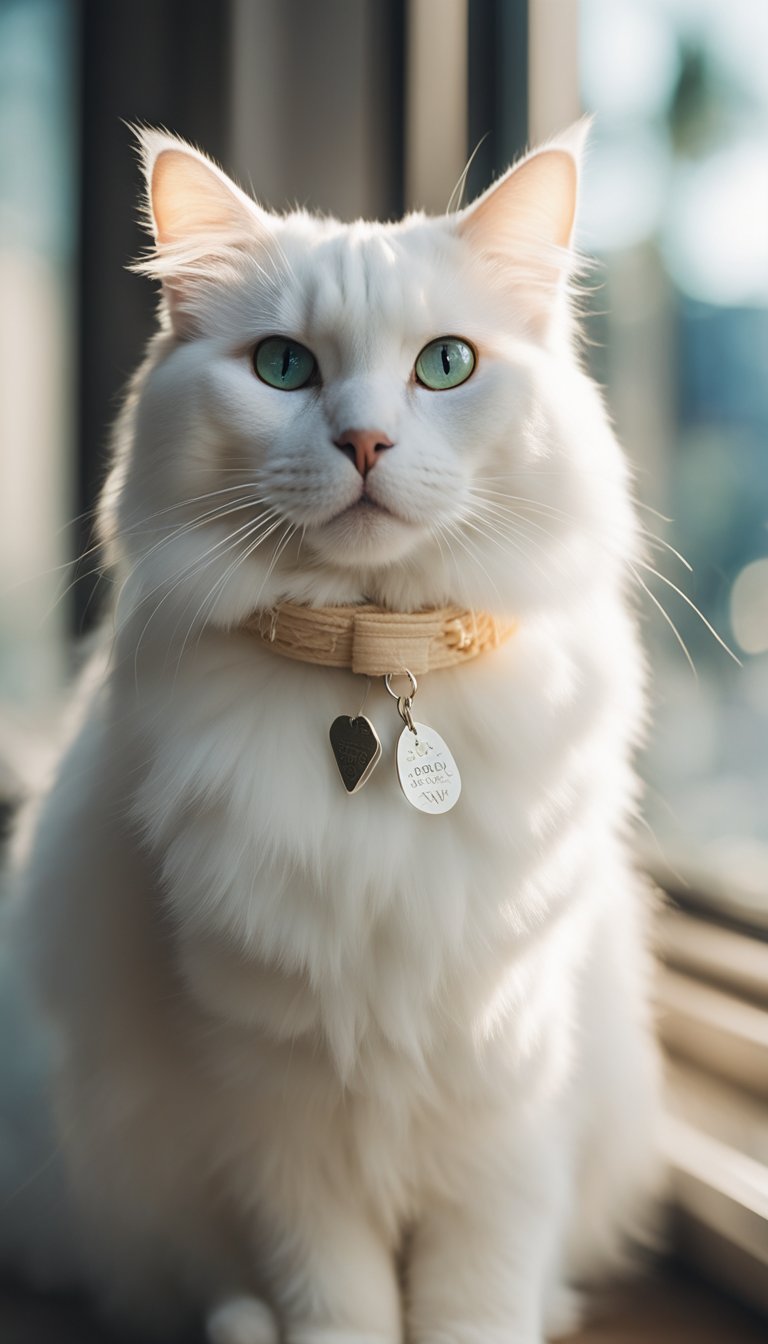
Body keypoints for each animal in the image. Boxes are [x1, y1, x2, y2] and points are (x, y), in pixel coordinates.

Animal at [1, 126, 661, 1344]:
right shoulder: (271, 1091)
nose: (364, 440)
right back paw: (235, 1324)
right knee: (188, 1279)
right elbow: (332, 1292)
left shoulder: (512, 1076)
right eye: (283, 368)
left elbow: (478, 1293)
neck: (376, 654)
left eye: (446, 366)